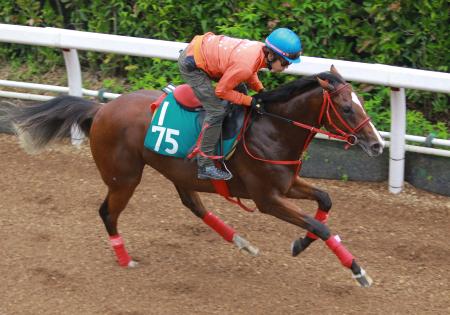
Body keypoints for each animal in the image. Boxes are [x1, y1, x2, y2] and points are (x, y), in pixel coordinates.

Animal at [4, 66, 384, 288]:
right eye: (347, 108)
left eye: (361, 103)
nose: (377, 144)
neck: (273, 129)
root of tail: (101, 109)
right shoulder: (268, 199)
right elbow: (320, 225)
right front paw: (358, 271)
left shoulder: (288, 185)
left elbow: (325, 201)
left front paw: (301, 243)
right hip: (123, 178)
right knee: (107, 212)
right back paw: (125, 259)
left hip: (177, 172)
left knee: (193, 205)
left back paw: (242, 242)